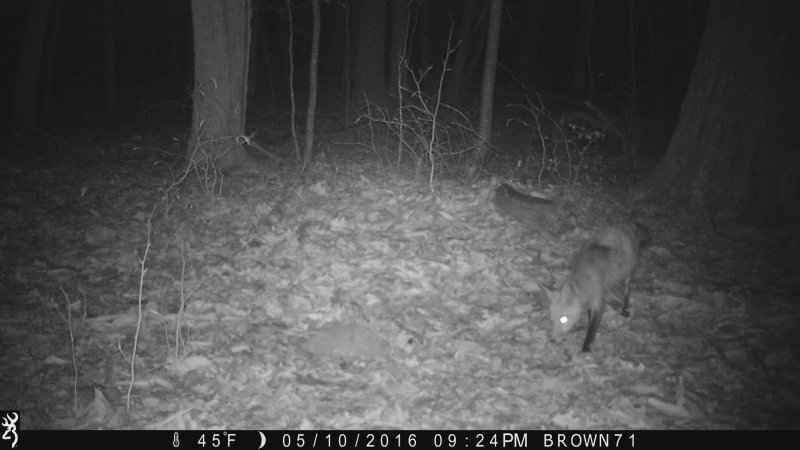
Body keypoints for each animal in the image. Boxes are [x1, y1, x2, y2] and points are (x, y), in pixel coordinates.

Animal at [542, 223, 650, 352]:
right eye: (552, 319)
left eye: (564, 319)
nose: (553, 340)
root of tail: (621, 226)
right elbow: (590, 321)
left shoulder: (598, 304)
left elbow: (592, 328)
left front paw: (586, 347)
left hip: (627, 275)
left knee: (627, 291)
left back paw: (625, 309)